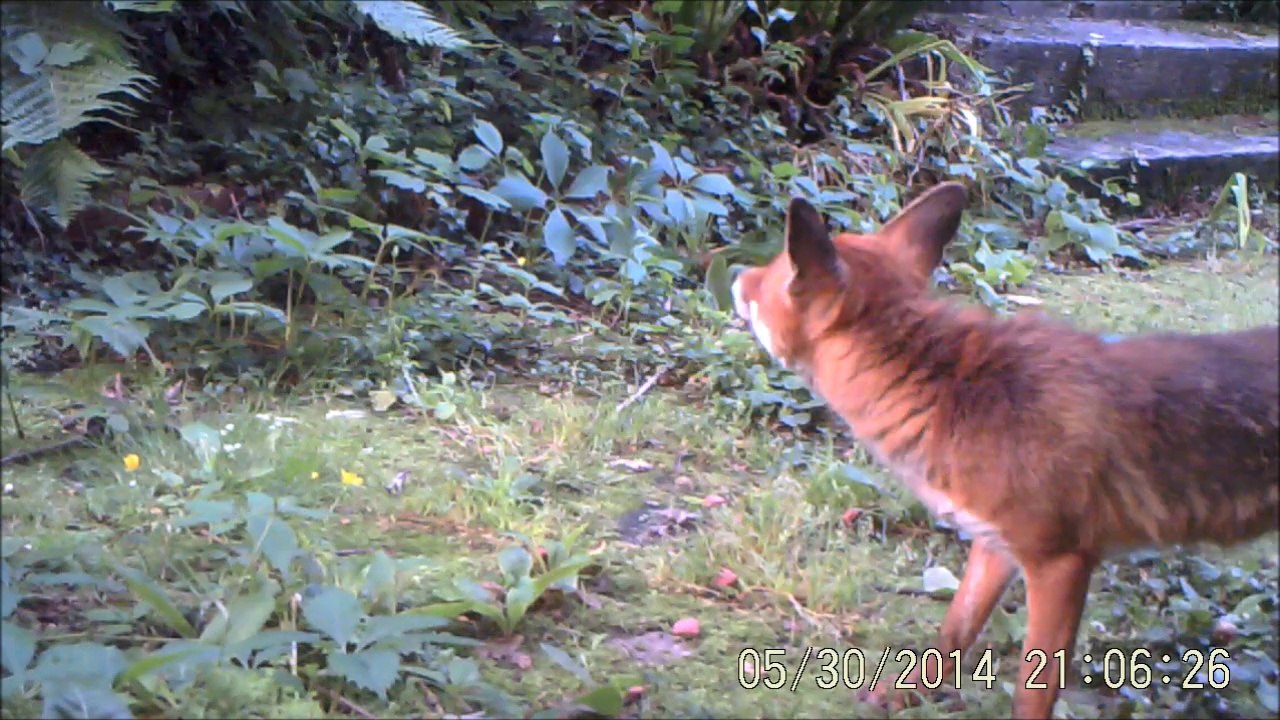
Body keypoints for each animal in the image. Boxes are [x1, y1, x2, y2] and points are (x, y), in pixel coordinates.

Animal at [727, 182, 1280, 719]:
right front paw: (902, 697)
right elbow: (953, 635)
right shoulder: (994, 544)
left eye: (774, 274)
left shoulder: (1059, 562)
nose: (734, 273)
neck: (950, 391)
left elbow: (1032, 693)